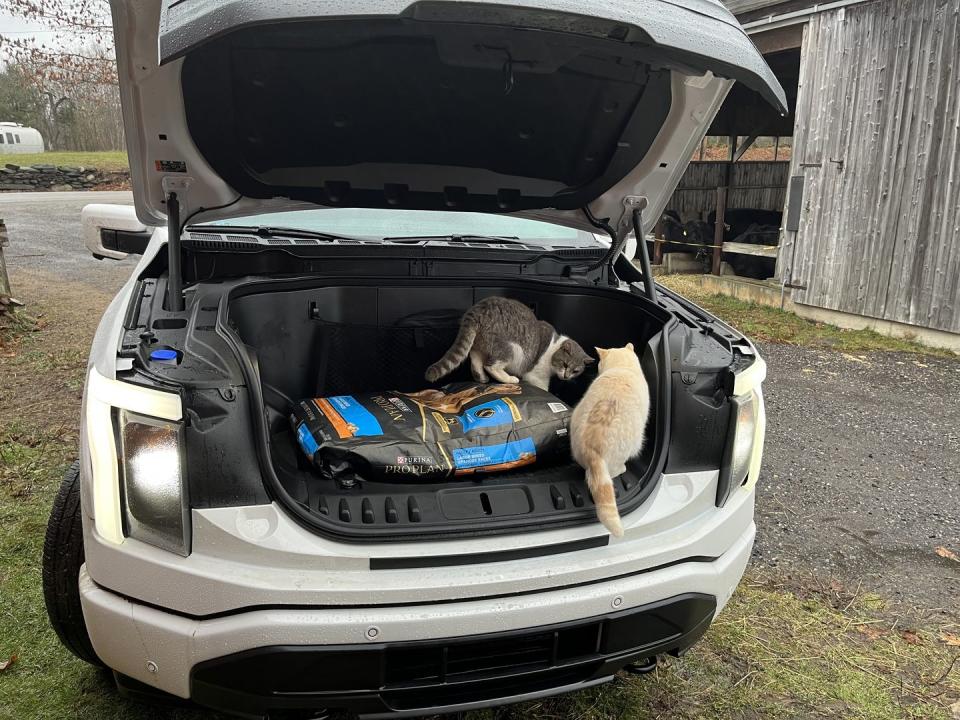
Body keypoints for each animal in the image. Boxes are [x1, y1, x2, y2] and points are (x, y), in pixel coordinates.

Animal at [426, 296, 592, 390]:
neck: (554, 348)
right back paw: (510, 379)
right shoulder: (535, 376)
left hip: (483, 342)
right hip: (511, 349)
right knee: (491, 365)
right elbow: (543, 388)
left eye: (576, 371)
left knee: (474, 355)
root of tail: (478, 309)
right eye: (565, 364)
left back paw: (480, 376)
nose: (566, 377)